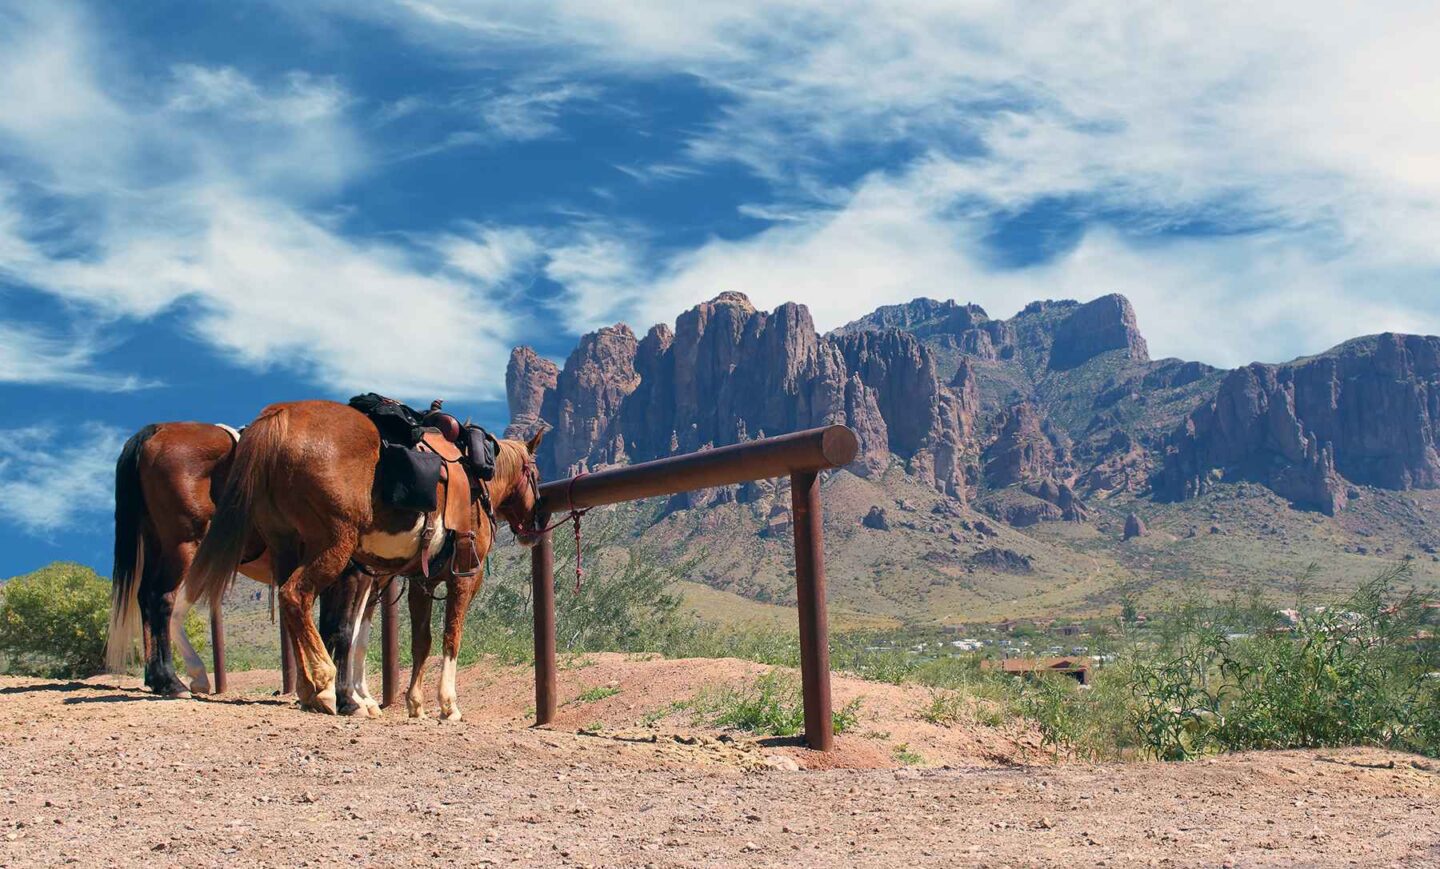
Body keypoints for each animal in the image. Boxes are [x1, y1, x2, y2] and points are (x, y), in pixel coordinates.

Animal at [107, 420, 383, 714]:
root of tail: (158, 430)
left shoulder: (366, 578)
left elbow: (354, 634)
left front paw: (354, 697)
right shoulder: (348, 573)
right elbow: (340, 631)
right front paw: (344, 698)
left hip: (157, 542)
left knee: (146, 598)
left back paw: (159, 679)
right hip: (183, 545)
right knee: (162, 600)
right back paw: (172, 681)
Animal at [180, 397, 541, 717]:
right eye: (534, 473)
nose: (534, 524)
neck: (478, 478)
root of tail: (279, 416)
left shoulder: (419, 582)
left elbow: (416, 641)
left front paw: (414, 704)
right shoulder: (463, 577)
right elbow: (449, 636)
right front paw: (447, 705)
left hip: (286, 546)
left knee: (291, 605)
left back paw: (309, 690)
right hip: (334, 547)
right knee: (294, 595)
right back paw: (322, 684)